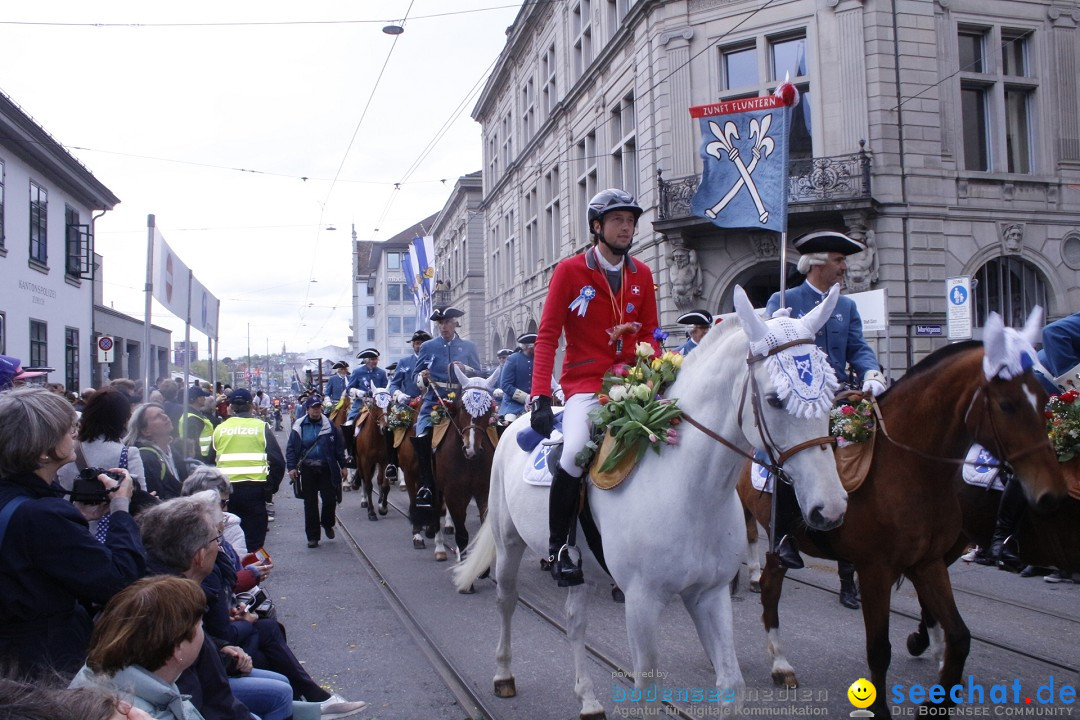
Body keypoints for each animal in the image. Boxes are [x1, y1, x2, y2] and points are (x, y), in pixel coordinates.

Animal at [451, 284, 846, 716]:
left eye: (832, 391)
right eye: (775, 399)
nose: (830, 507)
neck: (690, 492)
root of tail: (516, 422)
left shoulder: (709, 594)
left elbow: (731, 684)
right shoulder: (641, 602)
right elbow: (646, 690)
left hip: (582, 568)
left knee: (574, 621)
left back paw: (588, 697)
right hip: (508, 542)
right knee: (507, 600)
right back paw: (504, 674)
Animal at [738, 310, 1067, 720]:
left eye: (1044, 399)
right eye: (1007, 404)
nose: (1051, 493)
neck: (910, 468)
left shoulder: (928, 562)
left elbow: (960, 636)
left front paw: (936, 697)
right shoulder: (876, 570)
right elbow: (879, 649)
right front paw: (881, 707)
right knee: (769, 585)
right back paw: (780, 662)